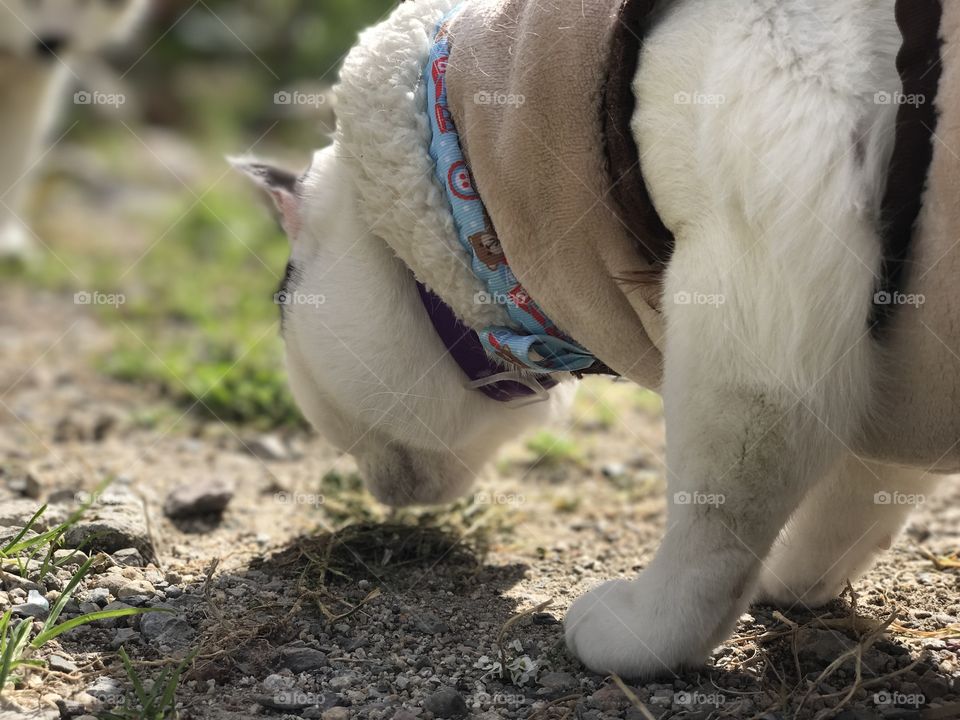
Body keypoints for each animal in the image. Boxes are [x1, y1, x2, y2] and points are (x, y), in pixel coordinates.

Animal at [236, 0, 956, 680]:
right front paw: (794, 581)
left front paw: (649, 633)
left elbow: (717, 520)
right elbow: (854, 501)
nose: (383, 499)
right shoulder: (887, 355)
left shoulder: (751, 315)